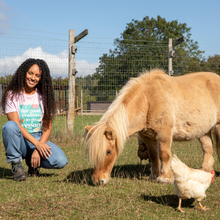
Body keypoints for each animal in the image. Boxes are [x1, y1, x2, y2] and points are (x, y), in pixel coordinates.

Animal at [85, 69, 220, 186]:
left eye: (108, 151)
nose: (98, 180)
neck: (148, 100)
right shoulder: (148, 137)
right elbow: (154, 155)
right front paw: (154, 176)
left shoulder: (164, 134)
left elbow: (164, 154)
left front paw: (165, 178)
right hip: (203, 131)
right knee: (207, 149)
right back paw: (204, 172)